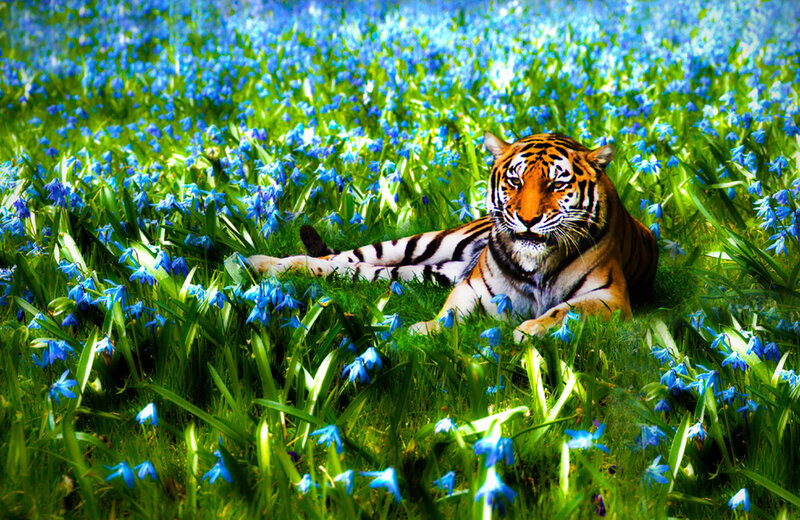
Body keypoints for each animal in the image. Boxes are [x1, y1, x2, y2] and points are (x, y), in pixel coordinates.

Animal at [247, 132, 658, 342]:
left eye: (557, 184)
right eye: (515, 180)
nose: (527, 220)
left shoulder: (608, 297)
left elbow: (563, 311)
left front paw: (530, 331)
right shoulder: (473, 287)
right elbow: (449, 313)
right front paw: (422, 330)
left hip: (422, 272)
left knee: (350, 271)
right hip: (418, 244)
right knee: (340, 258)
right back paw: (261, 264)